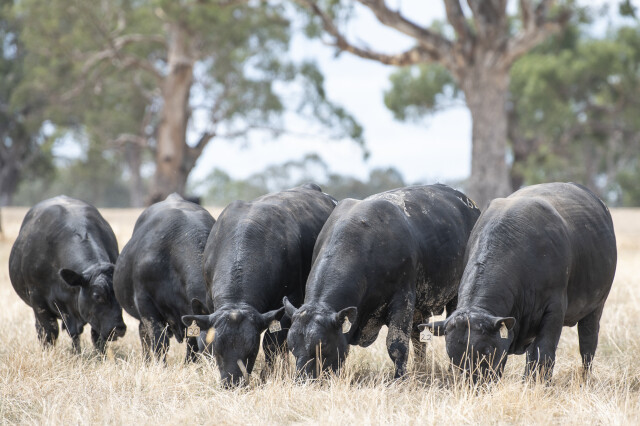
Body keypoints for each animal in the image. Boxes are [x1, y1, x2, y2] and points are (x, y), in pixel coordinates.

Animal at [9, 195, 126, 353]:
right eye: (97, 295)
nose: (119, 329)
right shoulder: (38, 301)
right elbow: (49, 332)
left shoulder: (93, 316)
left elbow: (97, 337)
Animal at [181, 183, 337, 386]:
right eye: (217, 350)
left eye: (252, 350)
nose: (232, 383)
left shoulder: (288, 301)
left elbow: (273, 343)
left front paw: (268, 375)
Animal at [283, 184, 481, 379]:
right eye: (292, 346)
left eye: (322, 345)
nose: (303, 379)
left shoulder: (403, 299)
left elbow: (396, 345)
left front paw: (400, 378)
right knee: (418, 338)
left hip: (454, 298)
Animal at [422, 183, 617, 382]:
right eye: (453, 355)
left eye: (487, 350)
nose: (474, 383)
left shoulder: (554, 311)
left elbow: (544, 355)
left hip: (595, 308)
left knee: (588, 346)